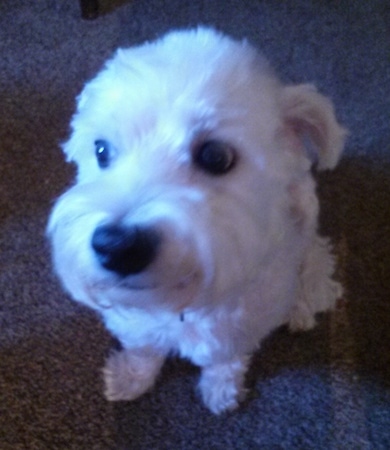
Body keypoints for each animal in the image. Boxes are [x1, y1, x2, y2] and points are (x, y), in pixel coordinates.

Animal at [47, 29, 346, 414]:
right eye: (101, 150)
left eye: (215, 156)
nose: (115, 247)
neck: (175, 301)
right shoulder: (138, 324)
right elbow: (144, 350)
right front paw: (130, 377)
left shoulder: (236, 328)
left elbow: (224, 360)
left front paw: (220, 390)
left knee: (315, 269)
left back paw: (301, 306)